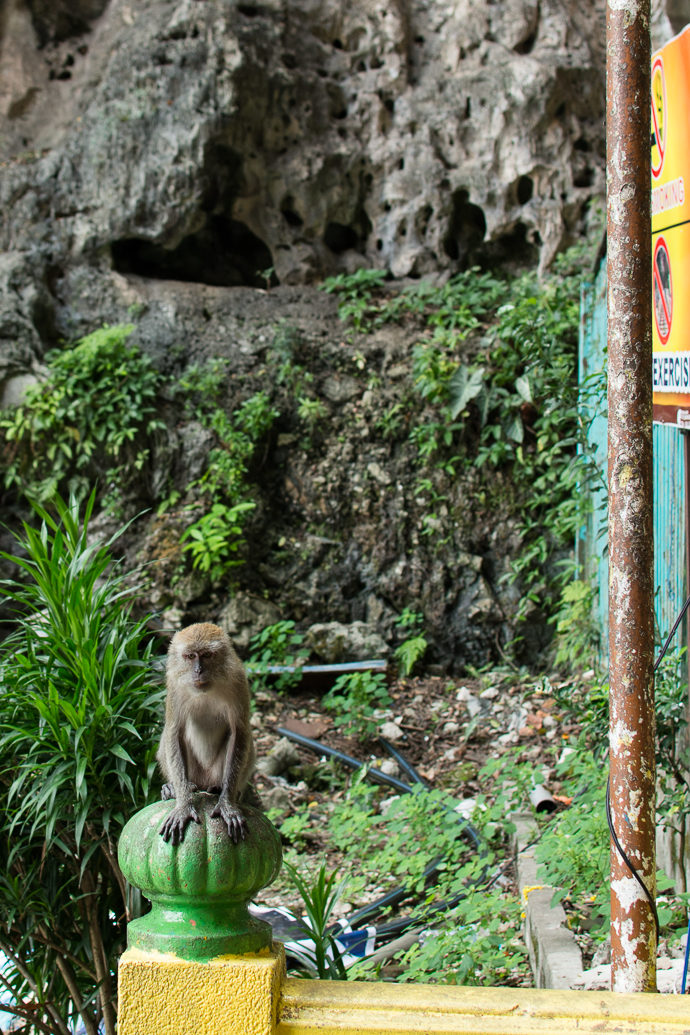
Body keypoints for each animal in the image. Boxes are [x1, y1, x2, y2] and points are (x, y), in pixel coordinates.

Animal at [158, 625, 257, 844]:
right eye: (190, 656)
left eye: (206, 655)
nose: (198, 670)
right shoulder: (175, 686)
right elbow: (173, 733)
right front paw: (183, 805)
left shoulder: (238, 681)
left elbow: (239, 733)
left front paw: (227, 803)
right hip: (195, 773)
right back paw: (176, 787)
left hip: (214, 773)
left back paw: (219, 789)